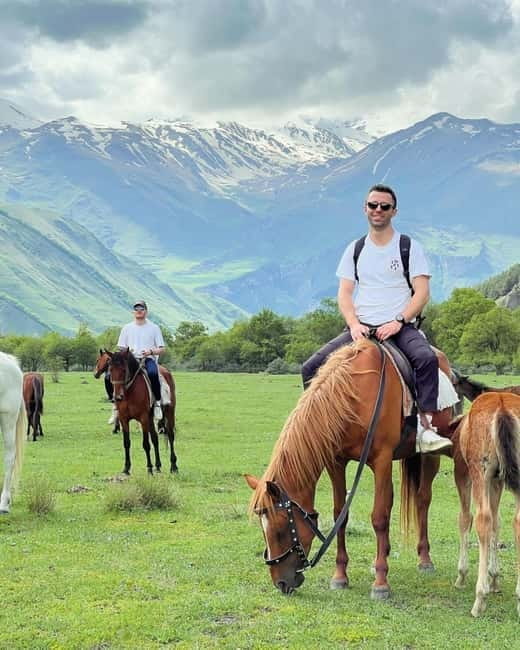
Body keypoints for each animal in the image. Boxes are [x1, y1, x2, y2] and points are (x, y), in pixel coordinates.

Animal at [246, 338, 457, 599]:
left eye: (281, 529)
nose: (281, 583)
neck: (352, 396)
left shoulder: (381, 460)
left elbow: (379, 517)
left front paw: (380, 583)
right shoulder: (336, 462)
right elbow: (341, 515)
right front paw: (340, 577)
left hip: (429, 457)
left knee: (422, 499)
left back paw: (424, 559)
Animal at [449, 392, 520, 617]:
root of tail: (502, 407)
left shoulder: (462, 473)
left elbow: (465, 518)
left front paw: (462, 575)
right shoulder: (498, 480)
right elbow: (497, 522)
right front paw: (495, 577)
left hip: (479, 469)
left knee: (482, 519)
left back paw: (479, 599)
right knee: (515, 522)